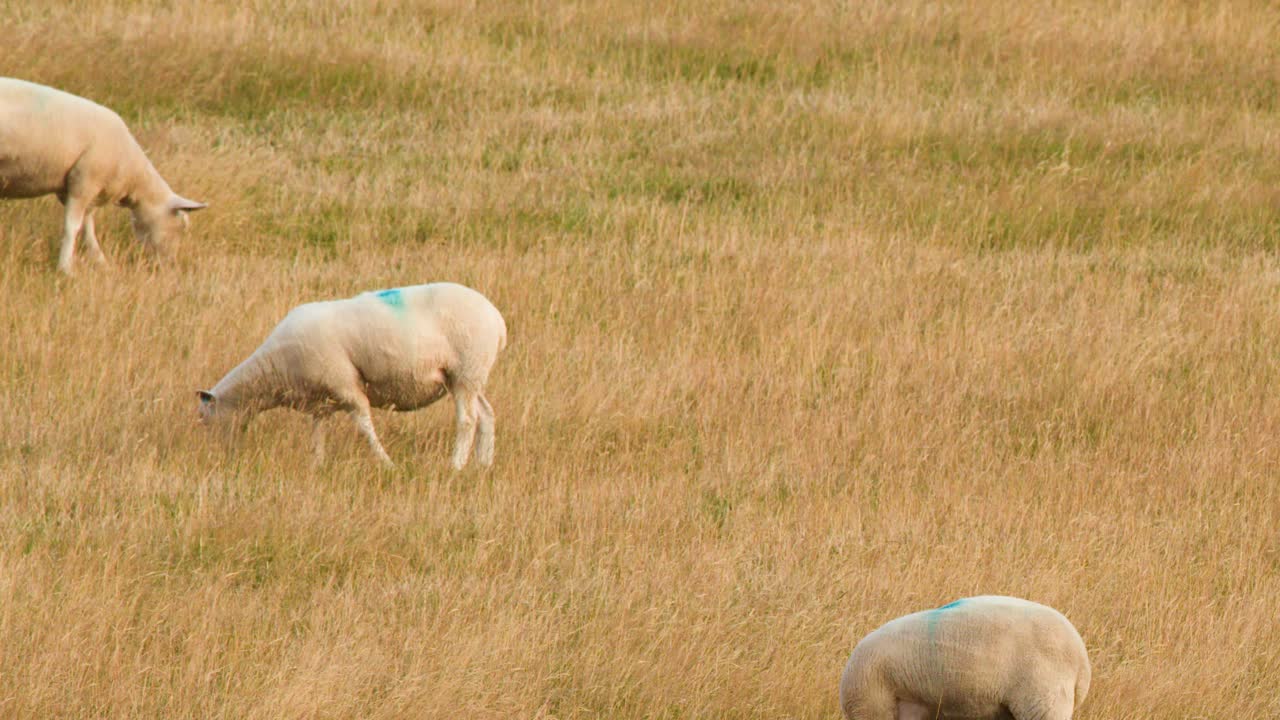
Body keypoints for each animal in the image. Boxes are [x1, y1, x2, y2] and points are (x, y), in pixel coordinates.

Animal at [0, 77, 206, 274]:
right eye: (181, 226)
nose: (170, 265)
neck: (132, 174)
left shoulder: (79, 191)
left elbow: (87, 229)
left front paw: (101, 262)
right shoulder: (83, 183)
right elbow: (72, 228)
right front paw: (65, 269)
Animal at [197, 282, 507, 470]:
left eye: (205, 418)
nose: (216, 456)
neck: (272, 370)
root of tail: (497, 319)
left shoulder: (346, 386)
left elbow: (365, 428)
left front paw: (387, 463)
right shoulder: (321, 401)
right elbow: (317, 434)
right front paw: (317, 465)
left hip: (466, 372)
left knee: (467, 421)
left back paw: (456, 465)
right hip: (470, 377)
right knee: (487, 414)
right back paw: (484, 463)